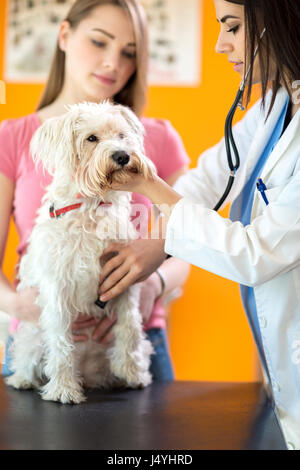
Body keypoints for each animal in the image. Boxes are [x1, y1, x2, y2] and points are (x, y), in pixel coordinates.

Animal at [5, 101, 157, 402]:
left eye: (121, 135)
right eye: (91, 138)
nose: (122, 155)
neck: (92, 206)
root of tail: (89, 374)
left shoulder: (123, 278)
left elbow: (129, 327)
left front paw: (132, 371)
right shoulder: (58, 287)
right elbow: (61, 341)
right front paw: (63, 388)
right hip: (31, 338)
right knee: (27, 359)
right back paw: (24, 379)